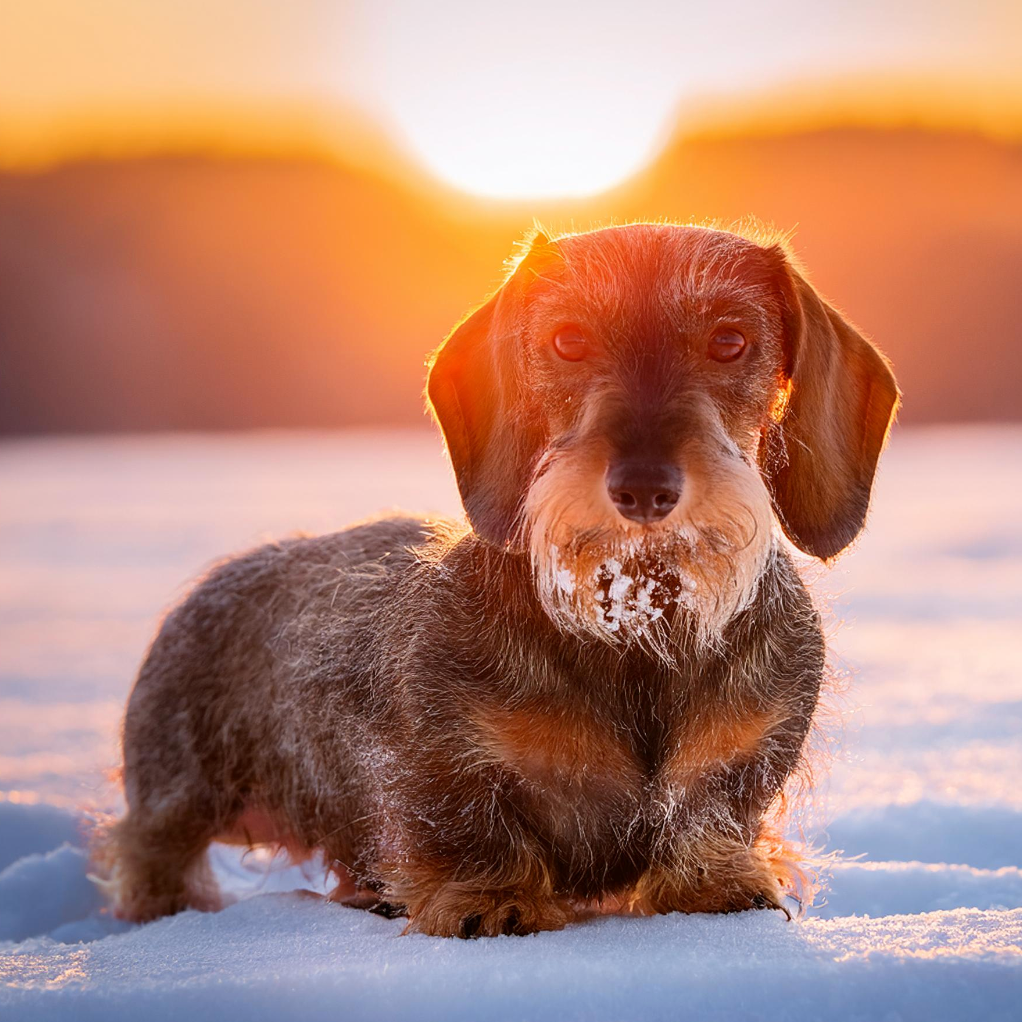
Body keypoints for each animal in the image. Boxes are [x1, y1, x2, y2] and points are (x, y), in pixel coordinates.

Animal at [94, 221, 895, 936]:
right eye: (567, 339)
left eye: (730, 340)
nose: (643, 488)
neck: (635, 620)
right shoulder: (440, 764)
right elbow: (469, 827)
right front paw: (493, 901)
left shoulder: (746, 753)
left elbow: (712, 810)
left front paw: (716, 885)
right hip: (178, 790)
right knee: (151, 849)